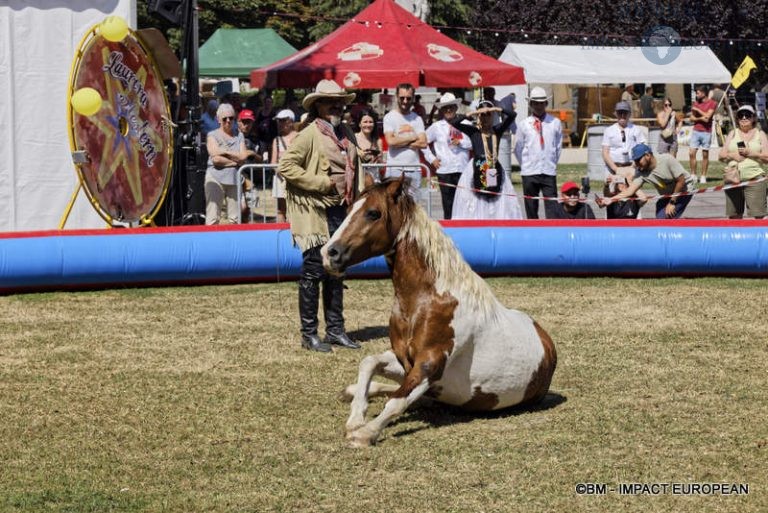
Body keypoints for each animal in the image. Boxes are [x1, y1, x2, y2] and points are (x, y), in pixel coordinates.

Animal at [320, 175, 560, 444]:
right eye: (349, 209)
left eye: (373, 213)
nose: (329, 253)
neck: (425, 302)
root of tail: (547, 343)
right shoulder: (403, 359)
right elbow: (369, 362)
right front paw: (356, 417)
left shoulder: (429, 366)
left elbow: (396, 401)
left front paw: (364, 432)